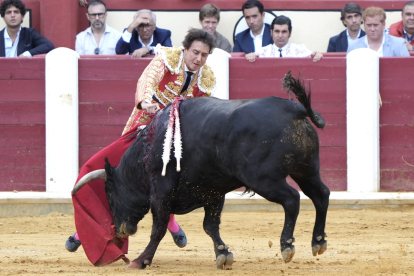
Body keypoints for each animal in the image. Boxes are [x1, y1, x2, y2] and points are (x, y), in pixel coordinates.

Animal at [72, 73, 330, 270]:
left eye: (110, 194)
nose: (120, 230)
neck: (149, 146)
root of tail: (294, 108)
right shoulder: (213, 190)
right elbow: (210, 225)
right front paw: (223, 254)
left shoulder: (161, 190)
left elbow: (159, 228)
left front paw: (141, 260)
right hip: (306, 170)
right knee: (321, 195)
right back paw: (318, 241)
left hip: (264, 179)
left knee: (292, 198)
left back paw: (287, 245)